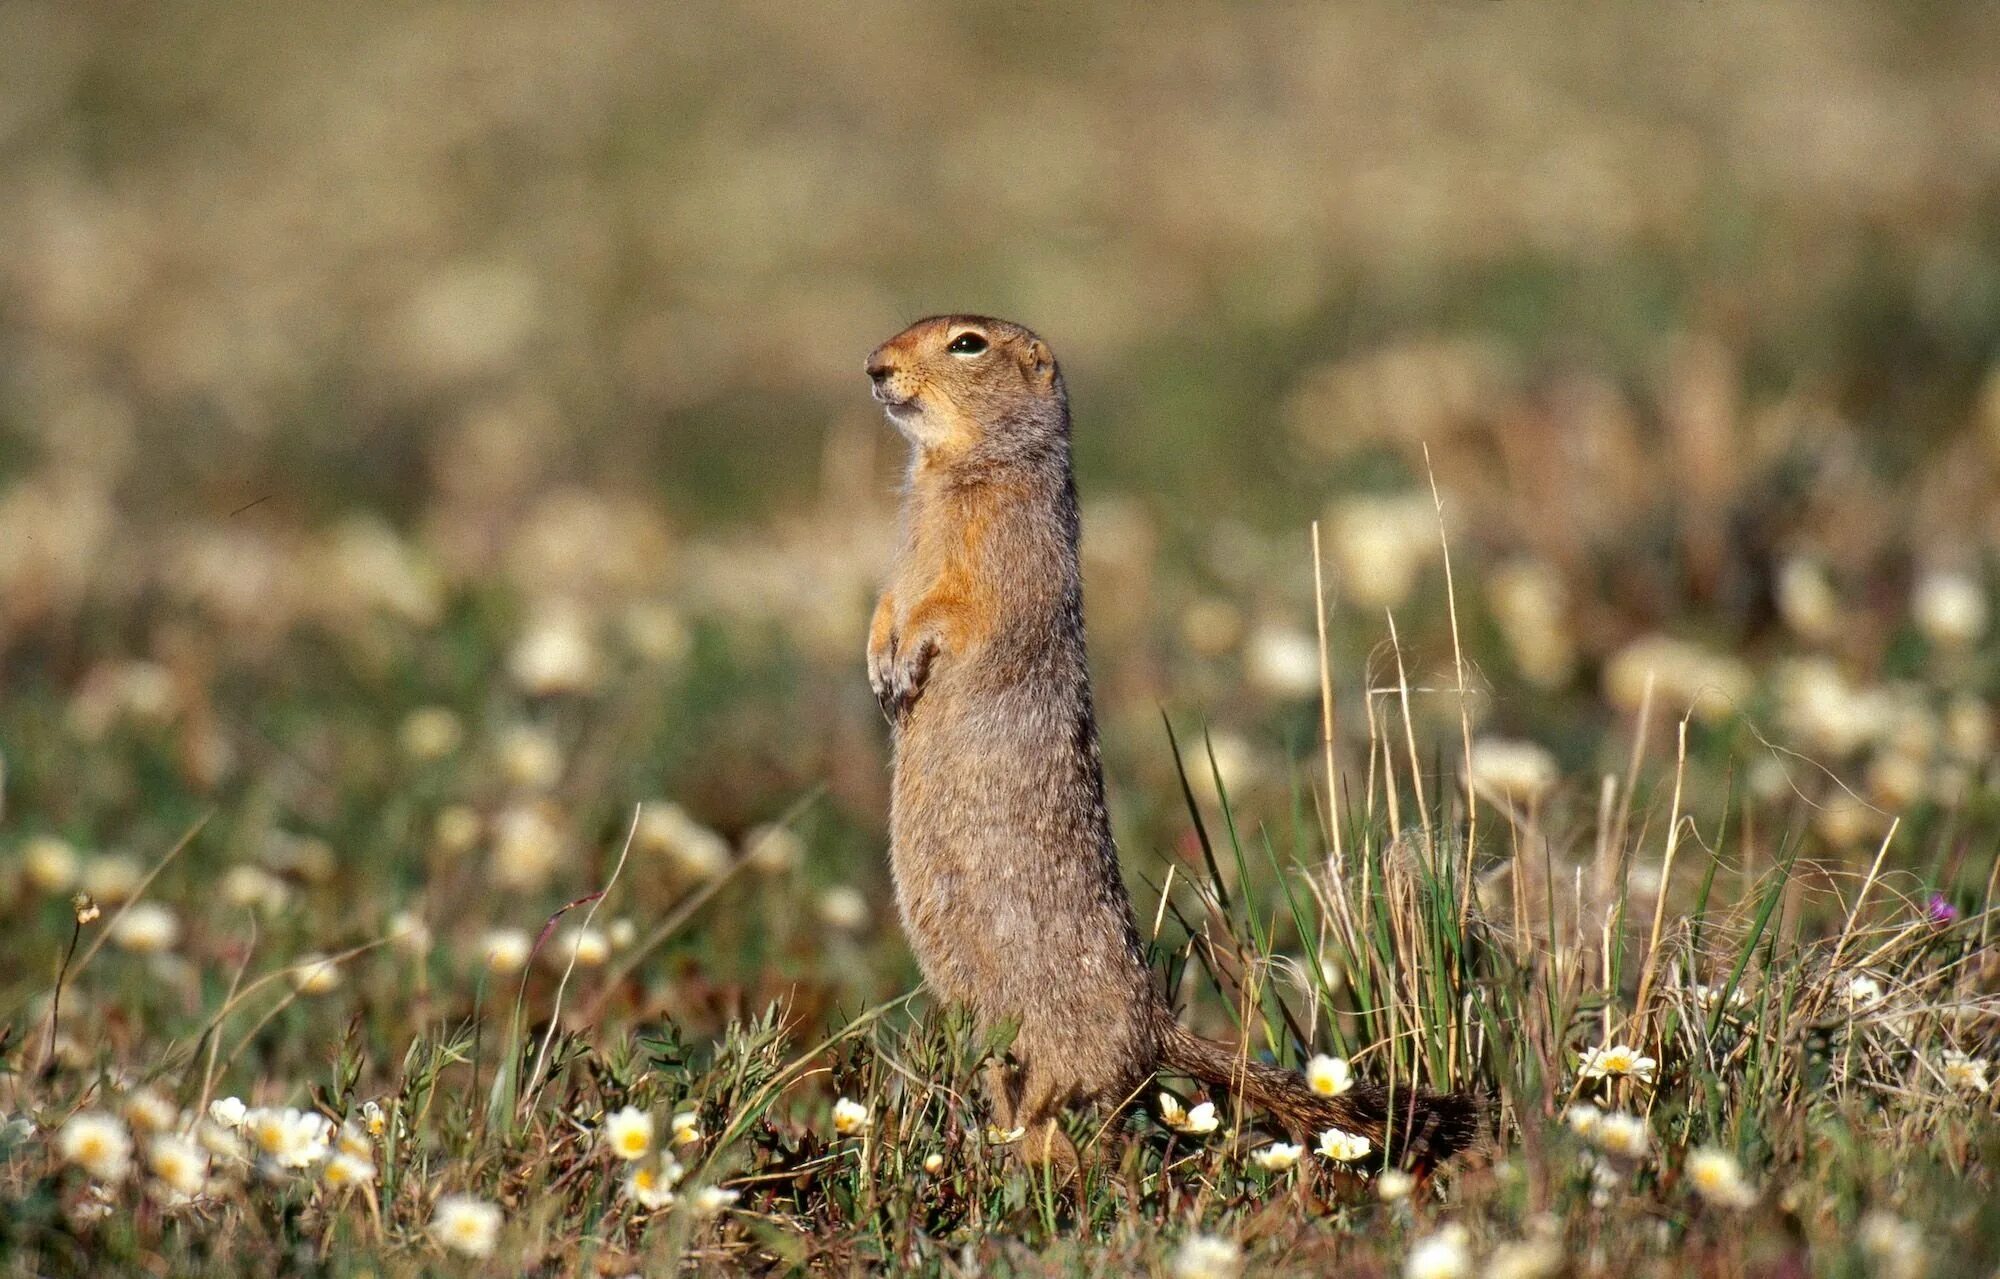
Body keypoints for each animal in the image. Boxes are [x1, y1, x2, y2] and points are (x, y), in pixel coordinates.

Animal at [868, 317, 1480, 1183]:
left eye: (967, 343)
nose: (873, 367)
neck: (952, 469)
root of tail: (1154, 1025)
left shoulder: (1000, 552)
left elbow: (955, 607)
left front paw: (908, 662)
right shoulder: (904, 556)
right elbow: (888, 599)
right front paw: (880, 669)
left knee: (1080, 1122)